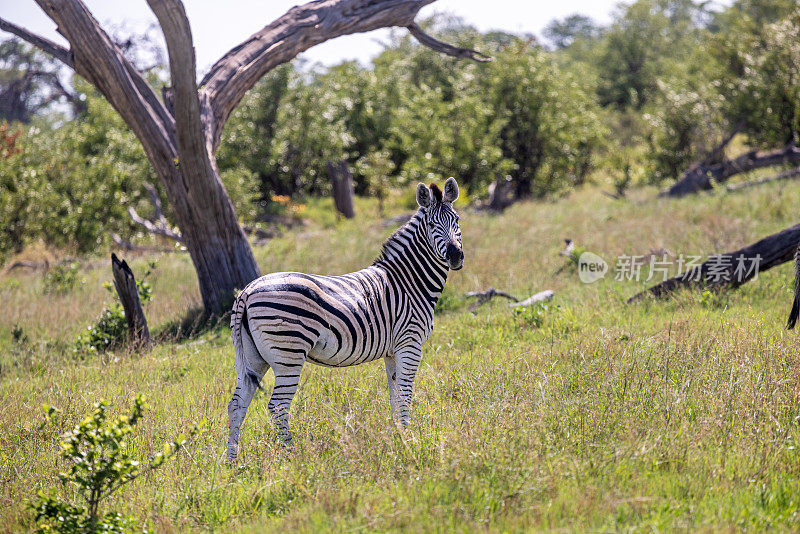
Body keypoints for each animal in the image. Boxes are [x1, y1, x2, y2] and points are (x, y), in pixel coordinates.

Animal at [225, 177, 462, 460]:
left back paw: (232, 461)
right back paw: (293, 456)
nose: (456, 256)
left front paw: (398, 437)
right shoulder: (410, 343)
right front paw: (410, 440)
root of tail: (247, 291)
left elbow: (394, 395)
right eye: (432, 226)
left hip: (253, 358)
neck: (408, 282)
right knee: (278, 406)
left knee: (237, 404)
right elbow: (405, 394)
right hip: (288, 354)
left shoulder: (392, 351)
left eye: (457, 220)